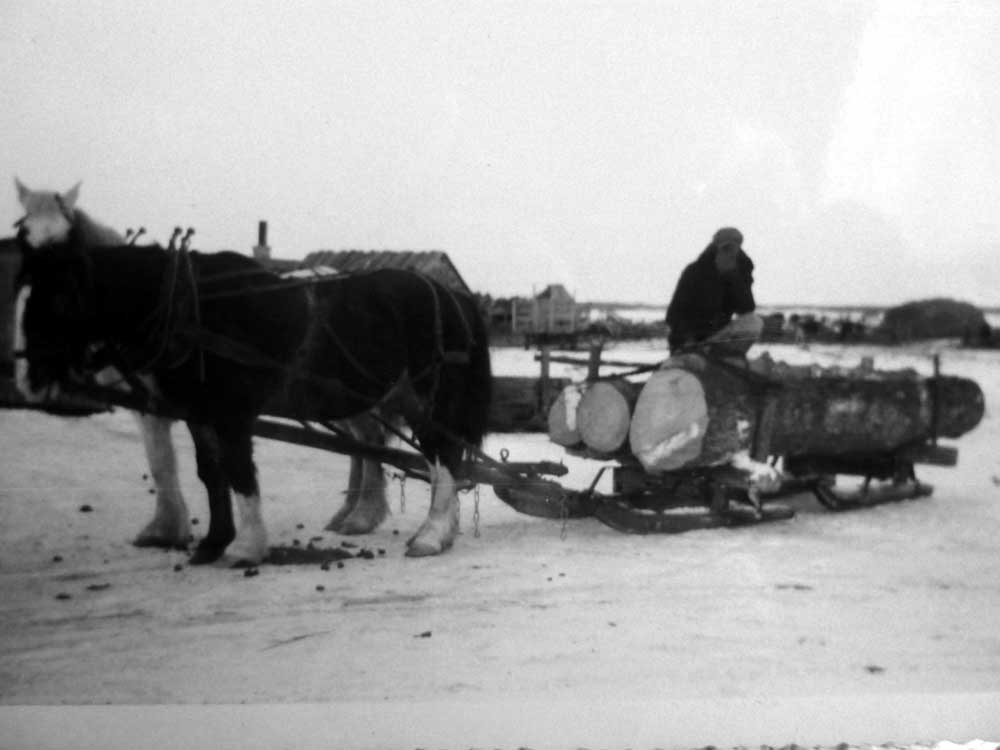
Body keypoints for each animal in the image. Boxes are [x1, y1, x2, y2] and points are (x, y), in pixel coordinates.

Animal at [15, 223, 492, 564]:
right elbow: (210, 472)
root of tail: (452, 295)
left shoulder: (231, 412)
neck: (190, 306)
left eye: (59, 299)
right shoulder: (198, 411)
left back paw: (431, 535)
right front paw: (211, 543)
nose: (28, 381)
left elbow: (239, 470)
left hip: (429, 398)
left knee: (441, 456)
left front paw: (246, 547)